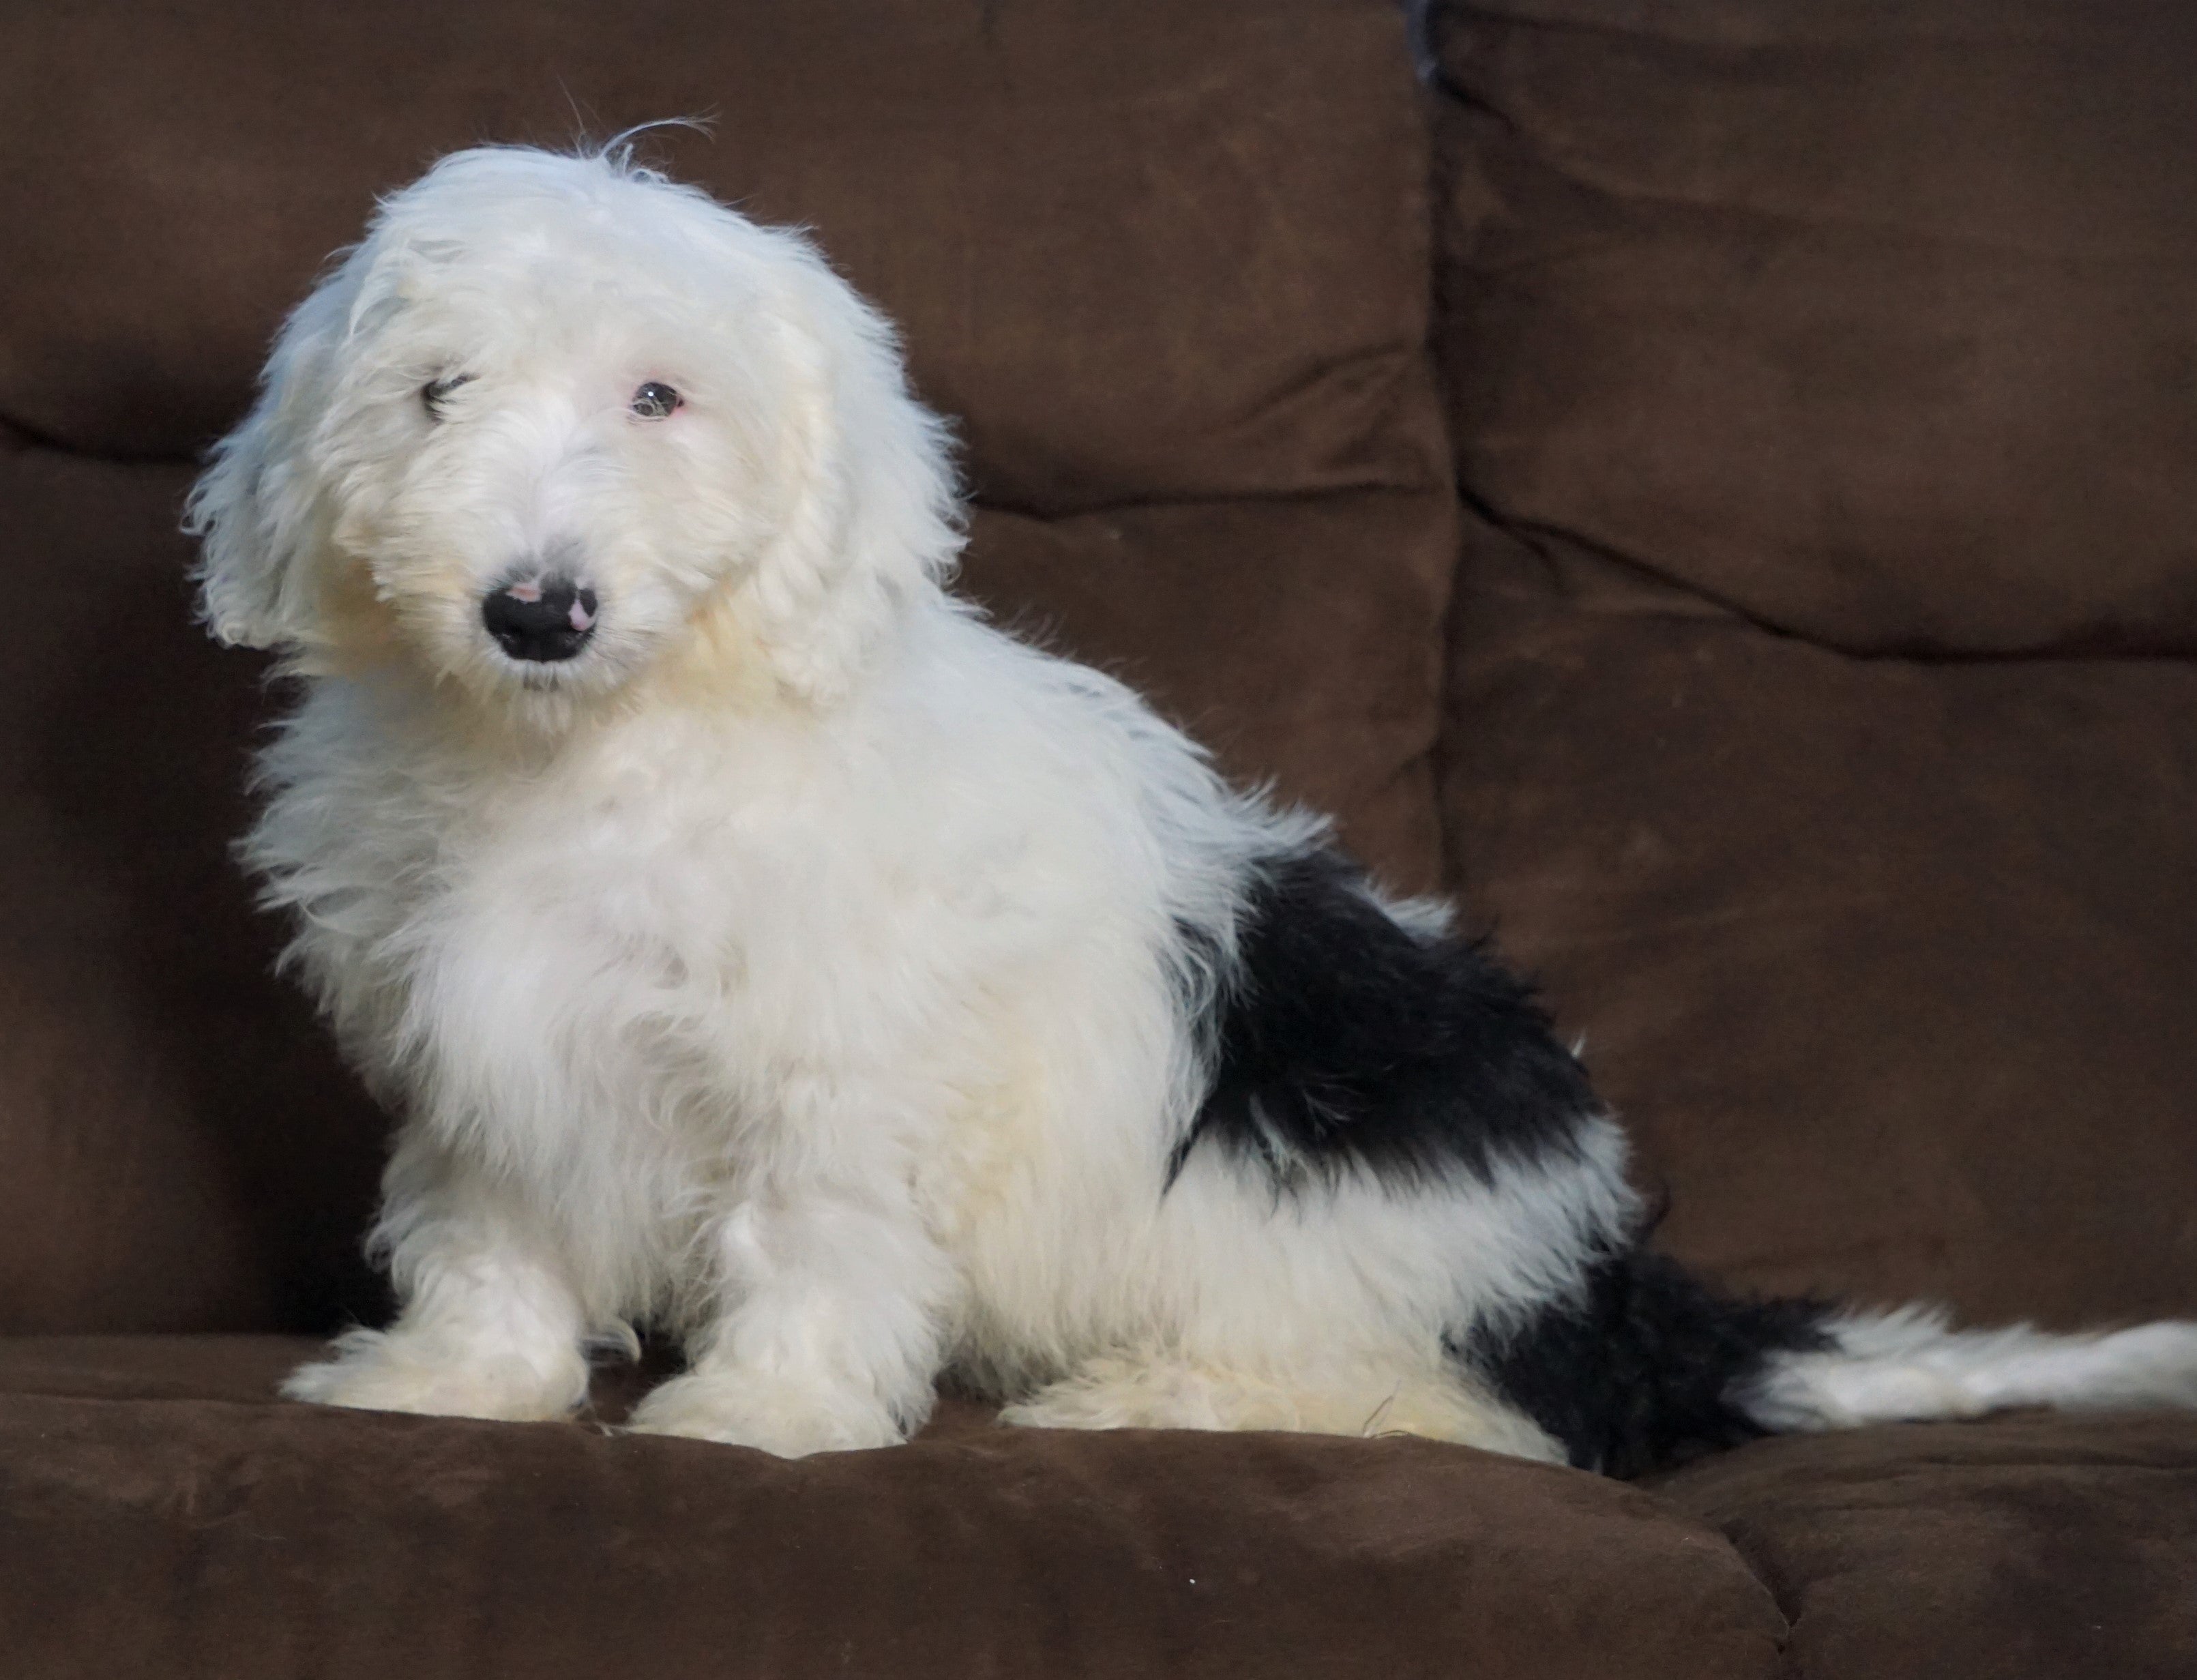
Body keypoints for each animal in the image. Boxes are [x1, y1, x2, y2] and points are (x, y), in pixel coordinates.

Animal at [189, 150, 2197, 1475]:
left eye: (658, 396)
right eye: (436, 391)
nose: (535, 605)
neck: (601, 743)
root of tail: (1619, 1296)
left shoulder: (832, 1064)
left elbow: (810, 1235)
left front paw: (761, 1411)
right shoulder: (487, 1041)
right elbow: (490, 1212)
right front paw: (452, 1375)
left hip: (1344, 1241)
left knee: (1466, 1416)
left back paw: (1161, 1393)